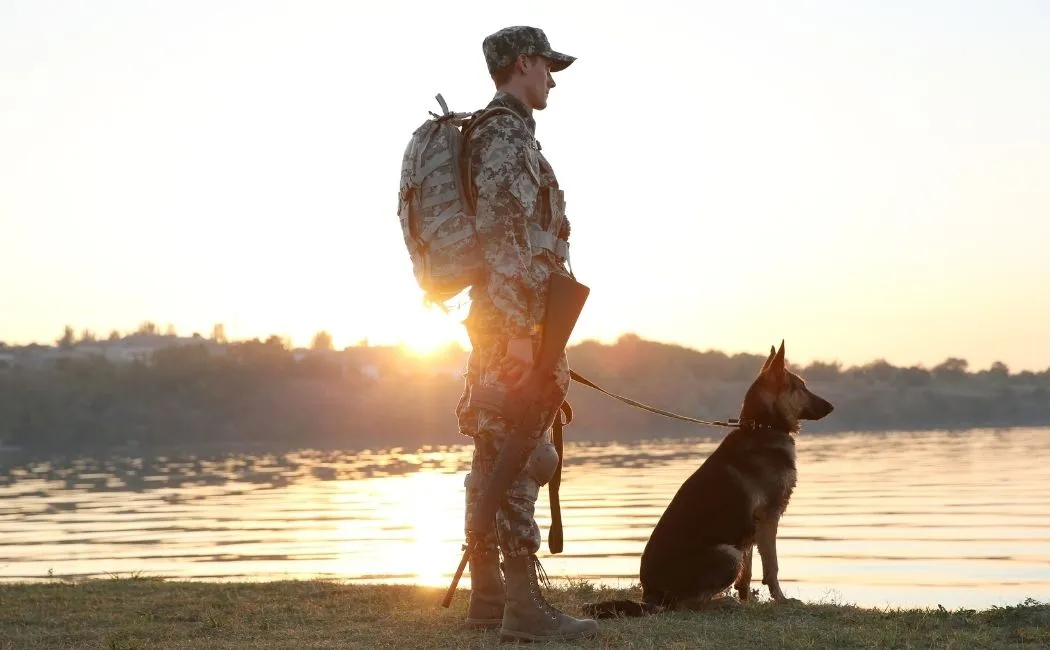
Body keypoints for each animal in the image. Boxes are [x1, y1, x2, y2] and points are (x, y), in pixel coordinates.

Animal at [588, 342, 831, 617]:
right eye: (801, 386)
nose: (831, 407)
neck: (762, 427)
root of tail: (652, 596)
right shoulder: (769, 518)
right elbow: (772, 567)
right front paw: (781, 599)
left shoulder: (751, 530)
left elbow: (747, 575)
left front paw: (749, 601)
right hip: (728, 553)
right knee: (687, 605)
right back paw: (723, 602)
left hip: (733, 550)